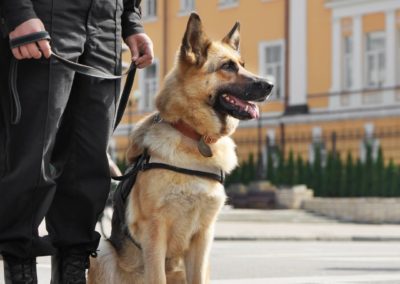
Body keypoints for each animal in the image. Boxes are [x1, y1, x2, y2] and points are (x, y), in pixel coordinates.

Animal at [89, 12, 274, 284]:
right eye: (227, 67)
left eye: (242, 64)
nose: (271, 85)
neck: (195, 137)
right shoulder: (155, 233)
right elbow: (156, 276)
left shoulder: (203, 238)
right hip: (102, 248)